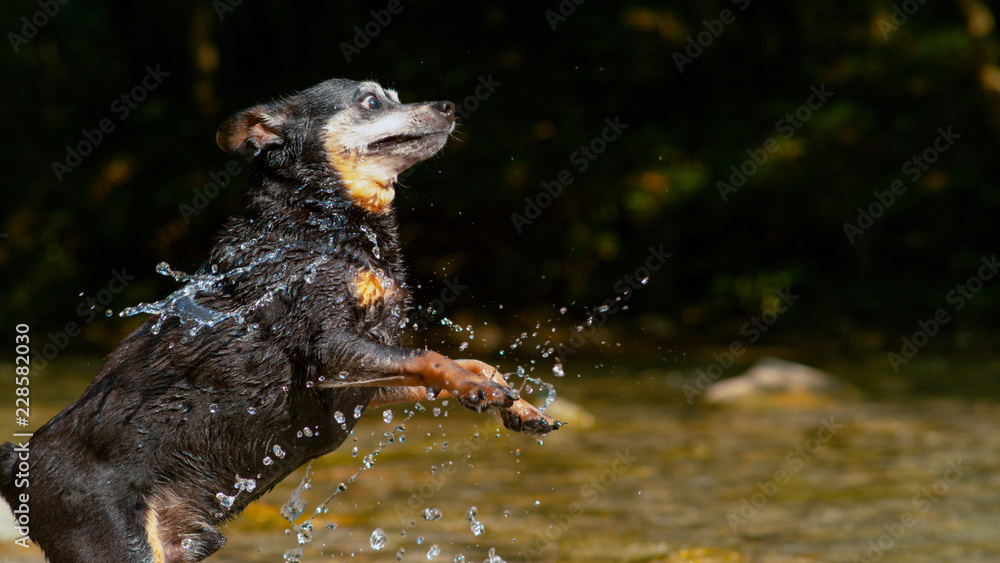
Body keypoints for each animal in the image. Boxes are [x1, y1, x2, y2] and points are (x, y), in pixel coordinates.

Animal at [0, 79, 560, 563]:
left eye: (397, 95)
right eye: (371, 101)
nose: (448, 106)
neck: (316, 225)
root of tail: (17, 463)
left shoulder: (357, 380)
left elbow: (465, 362)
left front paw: (514, 402)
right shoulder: (329, 351)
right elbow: (433, 354)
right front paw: (479, 389)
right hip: (118, 544)